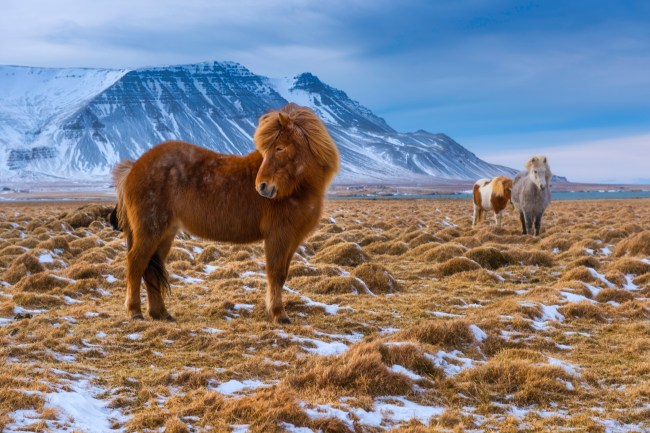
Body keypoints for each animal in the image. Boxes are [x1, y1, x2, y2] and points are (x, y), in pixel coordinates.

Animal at [112, 103, 339, 324]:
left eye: (280, 148)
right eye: (267, 150)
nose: (262, 187)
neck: (298, 189)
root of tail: (135, 166)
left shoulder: (293, 239)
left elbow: (282, 276)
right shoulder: (278, 235)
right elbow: (275, 274)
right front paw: (279, 314)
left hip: (165, 233)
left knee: (152, 269)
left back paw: (161, 313)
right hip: (149, 231)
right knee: (136, 263)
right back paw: (135, 312)